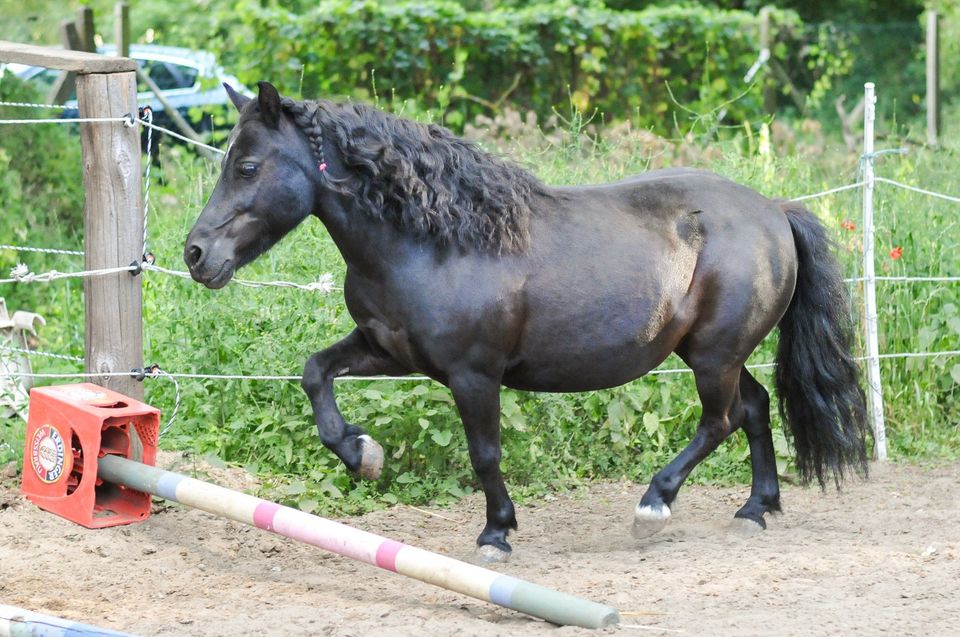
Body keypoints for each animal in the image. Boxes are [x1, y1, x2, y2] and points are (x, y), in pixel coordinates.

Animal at [186, 82, 872, 560]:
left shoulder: (473, 375)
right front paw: (361, 453)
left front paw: (496, 533)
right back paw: (757, 509)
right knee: (753, 408)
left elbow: (485, 453)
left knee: (722, 420)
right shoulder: (388, 351)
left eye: (247, 167)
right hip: (712, 353)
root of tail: (774, 210)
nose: (196, 255)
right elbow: (314, 373)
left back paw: (654, 506)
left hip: (713, 356)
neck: (436, 239)